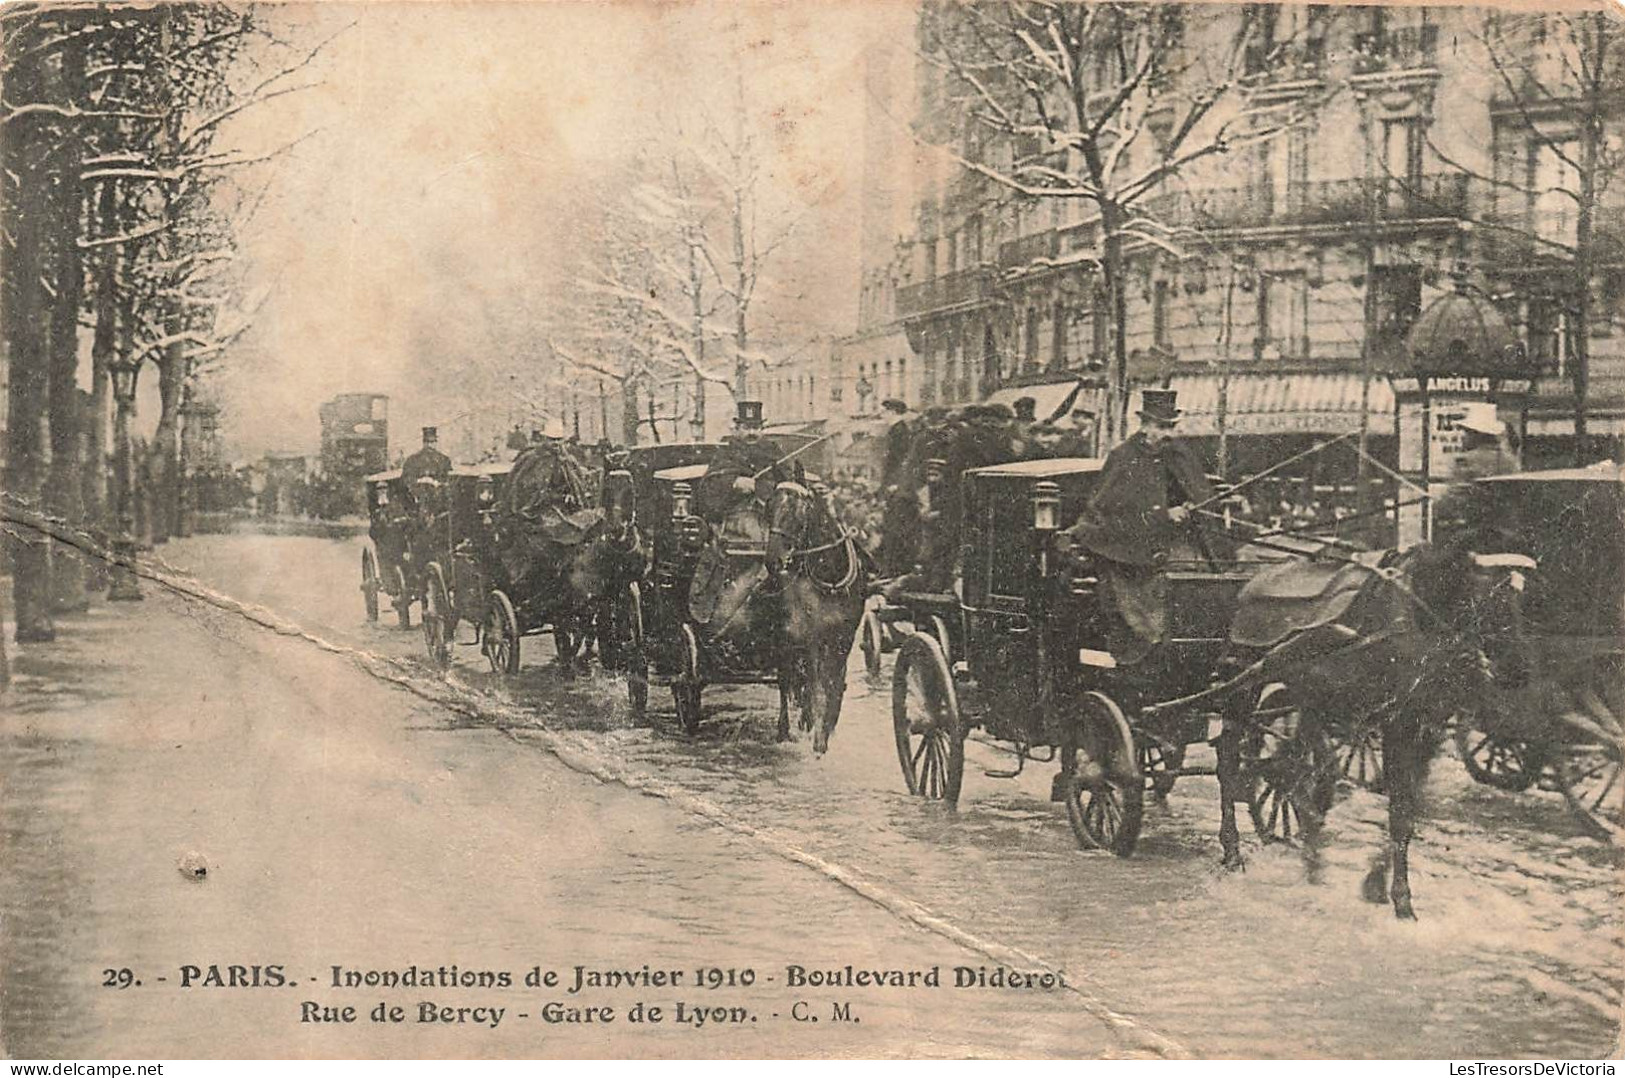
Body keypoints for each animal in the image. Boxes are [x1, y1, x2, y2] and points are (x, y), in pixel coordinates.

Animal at [763, 478, 871, 751]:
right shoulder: (811, 636)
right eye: (769, 508)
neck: (830, 575)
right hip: (784, 636)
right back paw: (787, 728)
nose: (773, 561)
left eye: (797, 513)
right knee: (786, 678)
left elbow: (833, 683)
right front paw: (816, 733)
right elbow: (814, 684)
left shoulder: (844, 638)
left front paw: (826, 730)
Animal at [1215, 543, 1527, 923]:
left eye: (1520, 601)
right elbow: (1337, 785)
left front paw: (1385, 889)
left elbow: (1405, 812)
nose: (1518, 672)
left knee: (1281, 761)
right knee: (1231, 762)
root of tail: (1250, 585)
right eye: (1487, 599)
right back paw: (1234, 850)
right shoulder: (1361, 711)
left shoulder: (1421, 728)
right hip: (1243, 686)